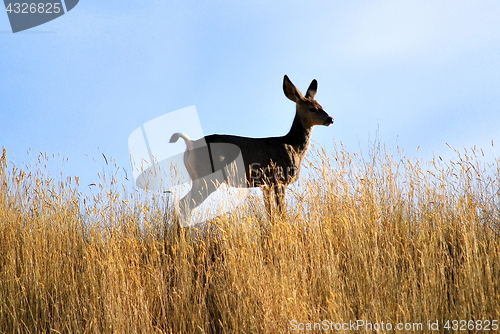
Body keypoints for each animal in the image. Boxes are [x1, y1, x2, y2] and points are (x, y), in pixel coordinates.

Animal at [170, 75, 334, 226]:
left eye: (321, 105)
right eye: (312, 108)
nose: (330, 119)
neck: (293, 146)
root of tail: (190, 144)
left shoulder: (265, 184)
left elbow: (270, 213)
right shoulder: (279, 179)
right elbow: (281, 211)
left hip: (198, 177)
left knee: (184, 204)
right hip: (208, 176)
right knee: (185, 204)